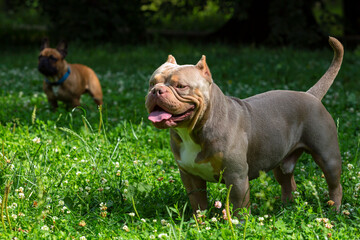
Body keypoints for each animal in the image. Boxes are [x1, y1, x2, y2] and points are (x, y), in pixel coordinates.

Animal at [144, 37, 344, 214]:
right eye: (151, 83)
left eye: (180, 86)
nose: (156, 91)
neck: (193, 130)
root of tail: (310, 95)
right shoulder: (190, 176)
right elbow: (198, 204)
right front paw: (199, 223)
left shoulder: (236, 176)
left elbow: (238, 205)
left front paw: (238, 225)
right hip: (281, 162)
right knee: (288, 182)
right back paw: (286, 208)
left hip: (327, 157)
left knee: (335, 184)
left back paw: (334, 210)